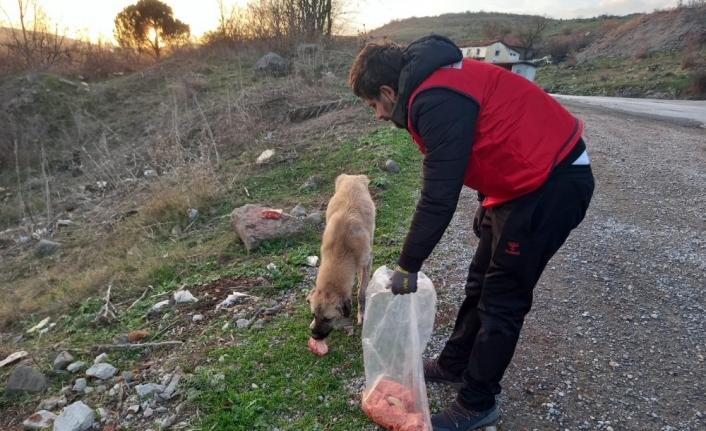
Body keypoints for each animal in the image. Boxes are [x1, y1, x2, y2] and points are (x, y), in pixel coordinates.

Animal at [306, 173, 374, 340]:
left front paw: (362, 312)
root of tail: (353, 177)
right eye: (314, 315)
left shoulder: (367, 260)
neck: (340, 250)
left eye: (328, 318)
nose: (315, 337)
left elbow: (362, 291)